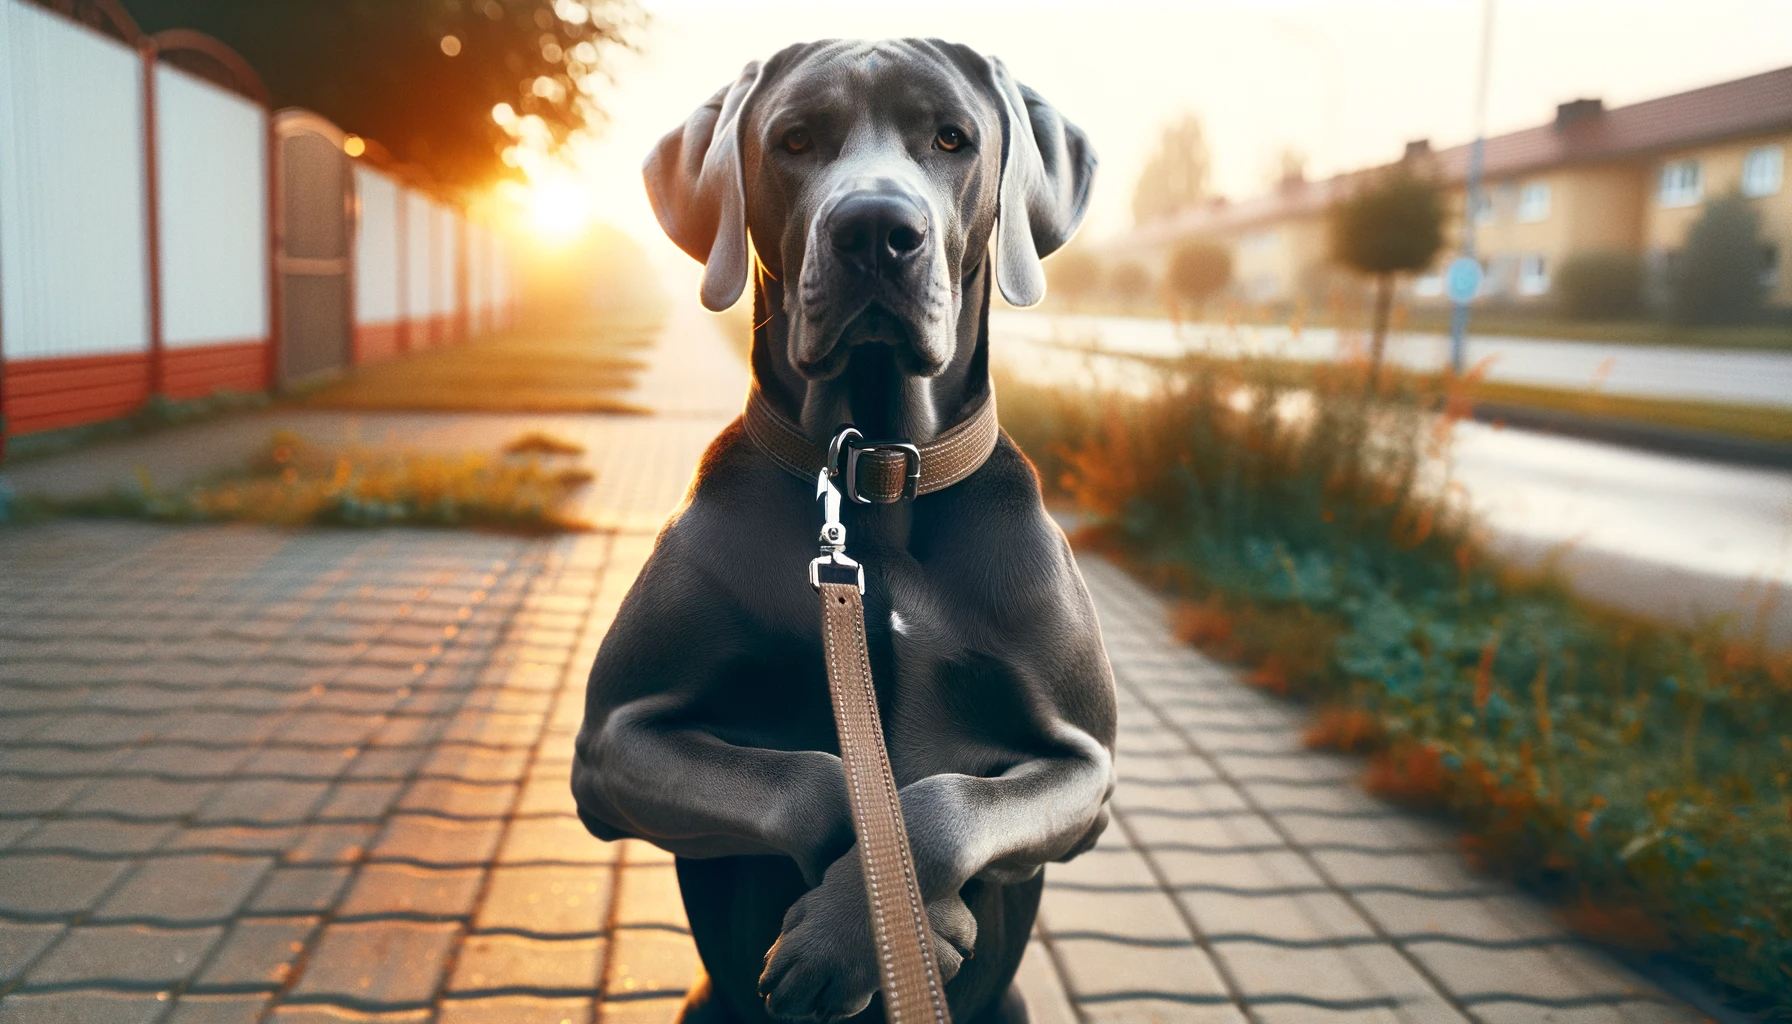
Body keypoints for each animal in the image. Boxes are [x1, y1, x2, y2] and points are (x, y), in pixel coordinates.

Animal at [573, 40, 1111, 1024]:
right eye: (793, 139)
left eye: (951, 137)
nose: (874, 229)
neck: (876, 476)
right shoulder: (612, 741)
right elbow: (827, 779)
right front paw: (871, 931)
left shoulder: (1086, 765)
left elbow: (945, 800)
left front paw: (882, 926)